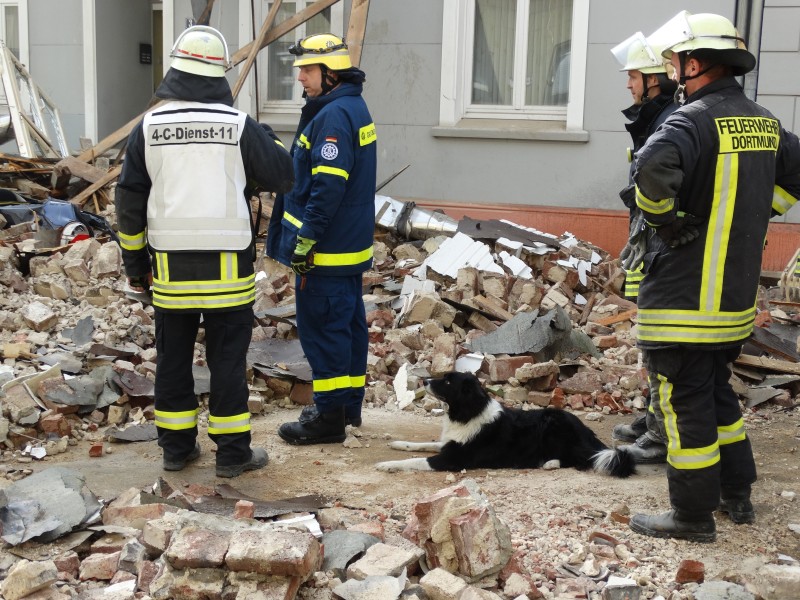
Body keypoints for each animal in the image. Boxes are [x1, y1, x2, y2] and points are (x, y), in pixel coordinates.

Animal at [376, 370, 636, 478]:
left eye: (449, 382)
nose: (425, 380)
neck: (468, 412)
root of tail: (587, 432)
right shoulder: (449, 444)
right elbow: (419, 445)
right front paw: (398, 444)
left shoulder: (452, 459)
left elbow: (415, 461)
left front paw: (386, 465)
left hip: (552, 425)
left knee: (579, 458)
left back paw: (549, 463)